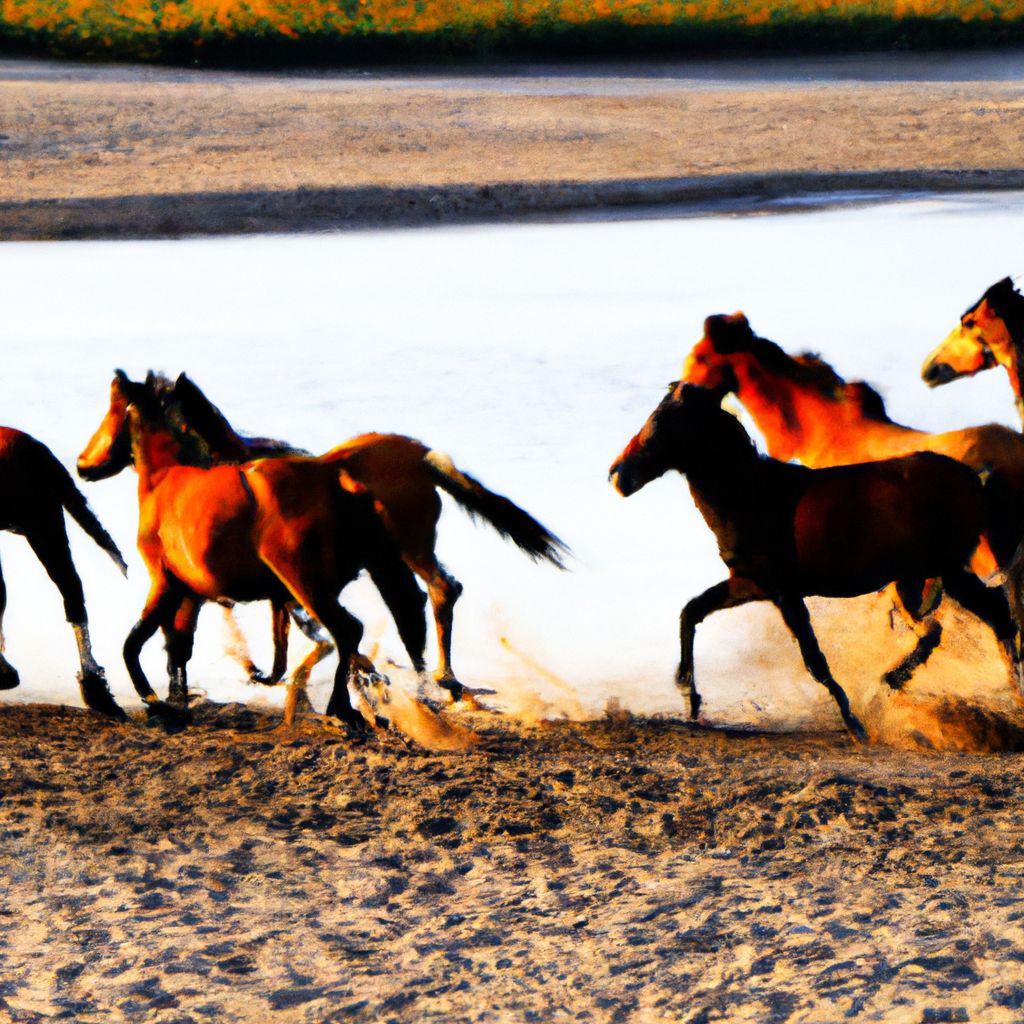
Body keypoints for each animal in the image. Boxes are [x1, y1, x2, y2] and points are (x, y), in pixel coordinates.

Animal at [76, 372, 428, 733]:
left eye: (114, 407)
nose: (82, 464)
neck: (166, 478)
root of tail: (338, 479)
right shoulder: (190, 594)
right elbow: (177, 649)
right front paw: (176, 706)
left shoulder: (164, 583)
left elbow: (132, 645)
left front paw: (155, 703)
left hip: (306, 586)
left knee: (348, 630)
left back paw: (341, 708)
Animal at [163, 372, 573, 700]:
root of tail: (424, 456)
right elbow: (290, 627)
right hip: (399, 555)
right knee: (423, 601)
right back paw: (432, 680)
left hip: (408, 547)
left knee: (437, 593)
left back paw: (440, 679)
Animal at [606, 380, 1024, 741]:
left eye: (660, 425)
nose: (617, 475)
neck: (752, 496)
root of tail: (974, 478)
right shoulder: (748, 584)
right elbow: (691, 612)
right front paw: (690, 700)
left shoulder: (781, 592)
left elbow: (814, 660)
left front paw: (855, 724)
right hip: (923, 577)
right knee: (969, 622)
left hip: (943, 571)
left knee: (988, 618)